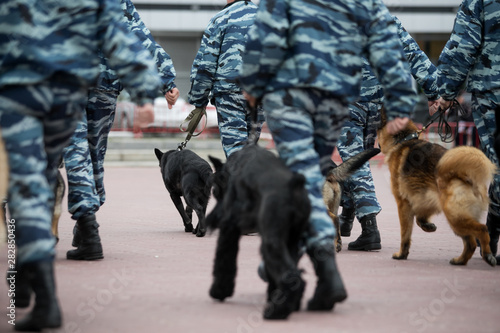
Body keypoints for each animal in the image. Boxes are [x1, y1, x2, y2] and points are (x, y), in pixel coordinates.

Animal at [206, 143, 308, 320]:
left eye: (215, 192)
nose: (212, 219)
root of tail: (293, 186)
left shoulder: (229, 228)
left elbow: (224, 259)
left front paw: (219, 291)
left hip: (271, 242)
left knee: (294, 278)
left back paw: (276, 312)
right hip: (290, 240)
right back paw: (288, 305)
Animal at [378, 110, 496, 266]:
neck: (404, 139)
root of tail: (464, 173)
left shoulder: (403, 204)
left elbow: (405, 234)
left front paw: (402, 254)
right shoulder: (426, 197)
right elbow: (420, 217)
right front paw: (427, 225)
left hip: (454, 217)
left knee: (482, 230)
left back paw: (487, 254)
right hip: (455, 216)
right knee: (470, 243)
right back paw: (460, 260)